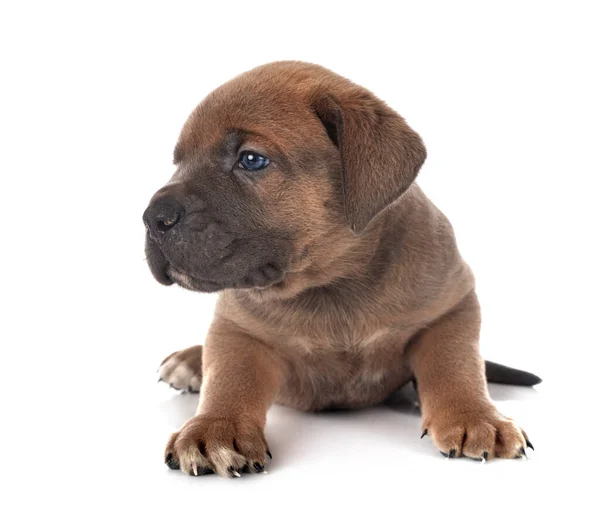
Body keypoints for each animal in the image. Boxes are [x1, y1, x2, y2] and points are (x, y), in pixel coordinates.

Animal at [145, 60, 540, 478]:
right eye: (178, 163)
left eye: (251, 159)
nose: (153, 218)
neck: (332, 280)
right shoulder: (238, 326)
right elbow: (230, 375)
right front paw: (215, 427)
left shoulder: (452, 304)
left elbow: (455, 364)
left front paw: (475, 417)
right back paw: (191, 360)